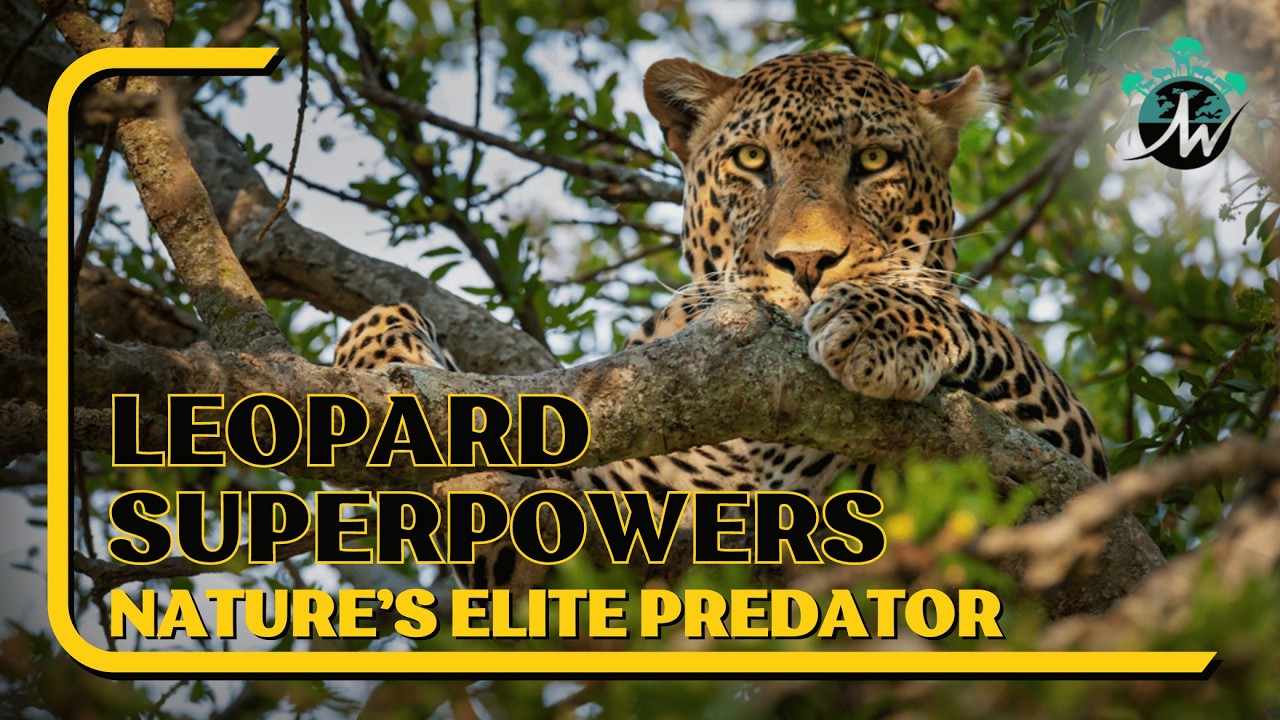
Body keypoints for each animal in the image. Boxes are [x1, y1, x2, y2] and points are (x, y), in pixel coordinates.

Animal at [333, 51, 1108, 593]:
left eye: (875, 160)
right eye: (751, 159)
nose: (806, 261)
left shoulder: (1073, 467)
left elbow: (984, 328)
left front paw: (879, 325)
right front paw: (376, 363)